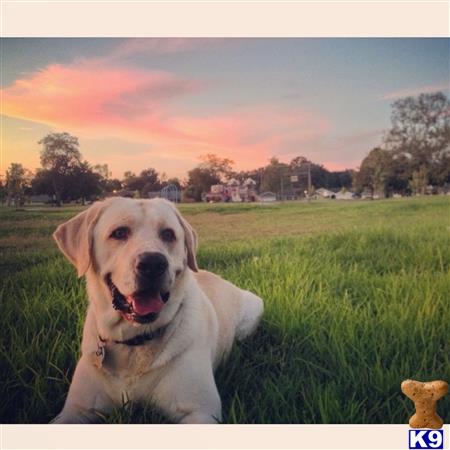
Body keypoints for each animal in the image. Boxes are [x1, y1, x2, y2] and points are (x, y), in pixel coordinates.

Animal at [51, 197, 264, 422]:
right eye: (119, 233)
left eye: (168, 234)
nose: (153, 264)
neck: (134, 342)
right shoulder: (75, 409)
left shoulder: (200, 411)